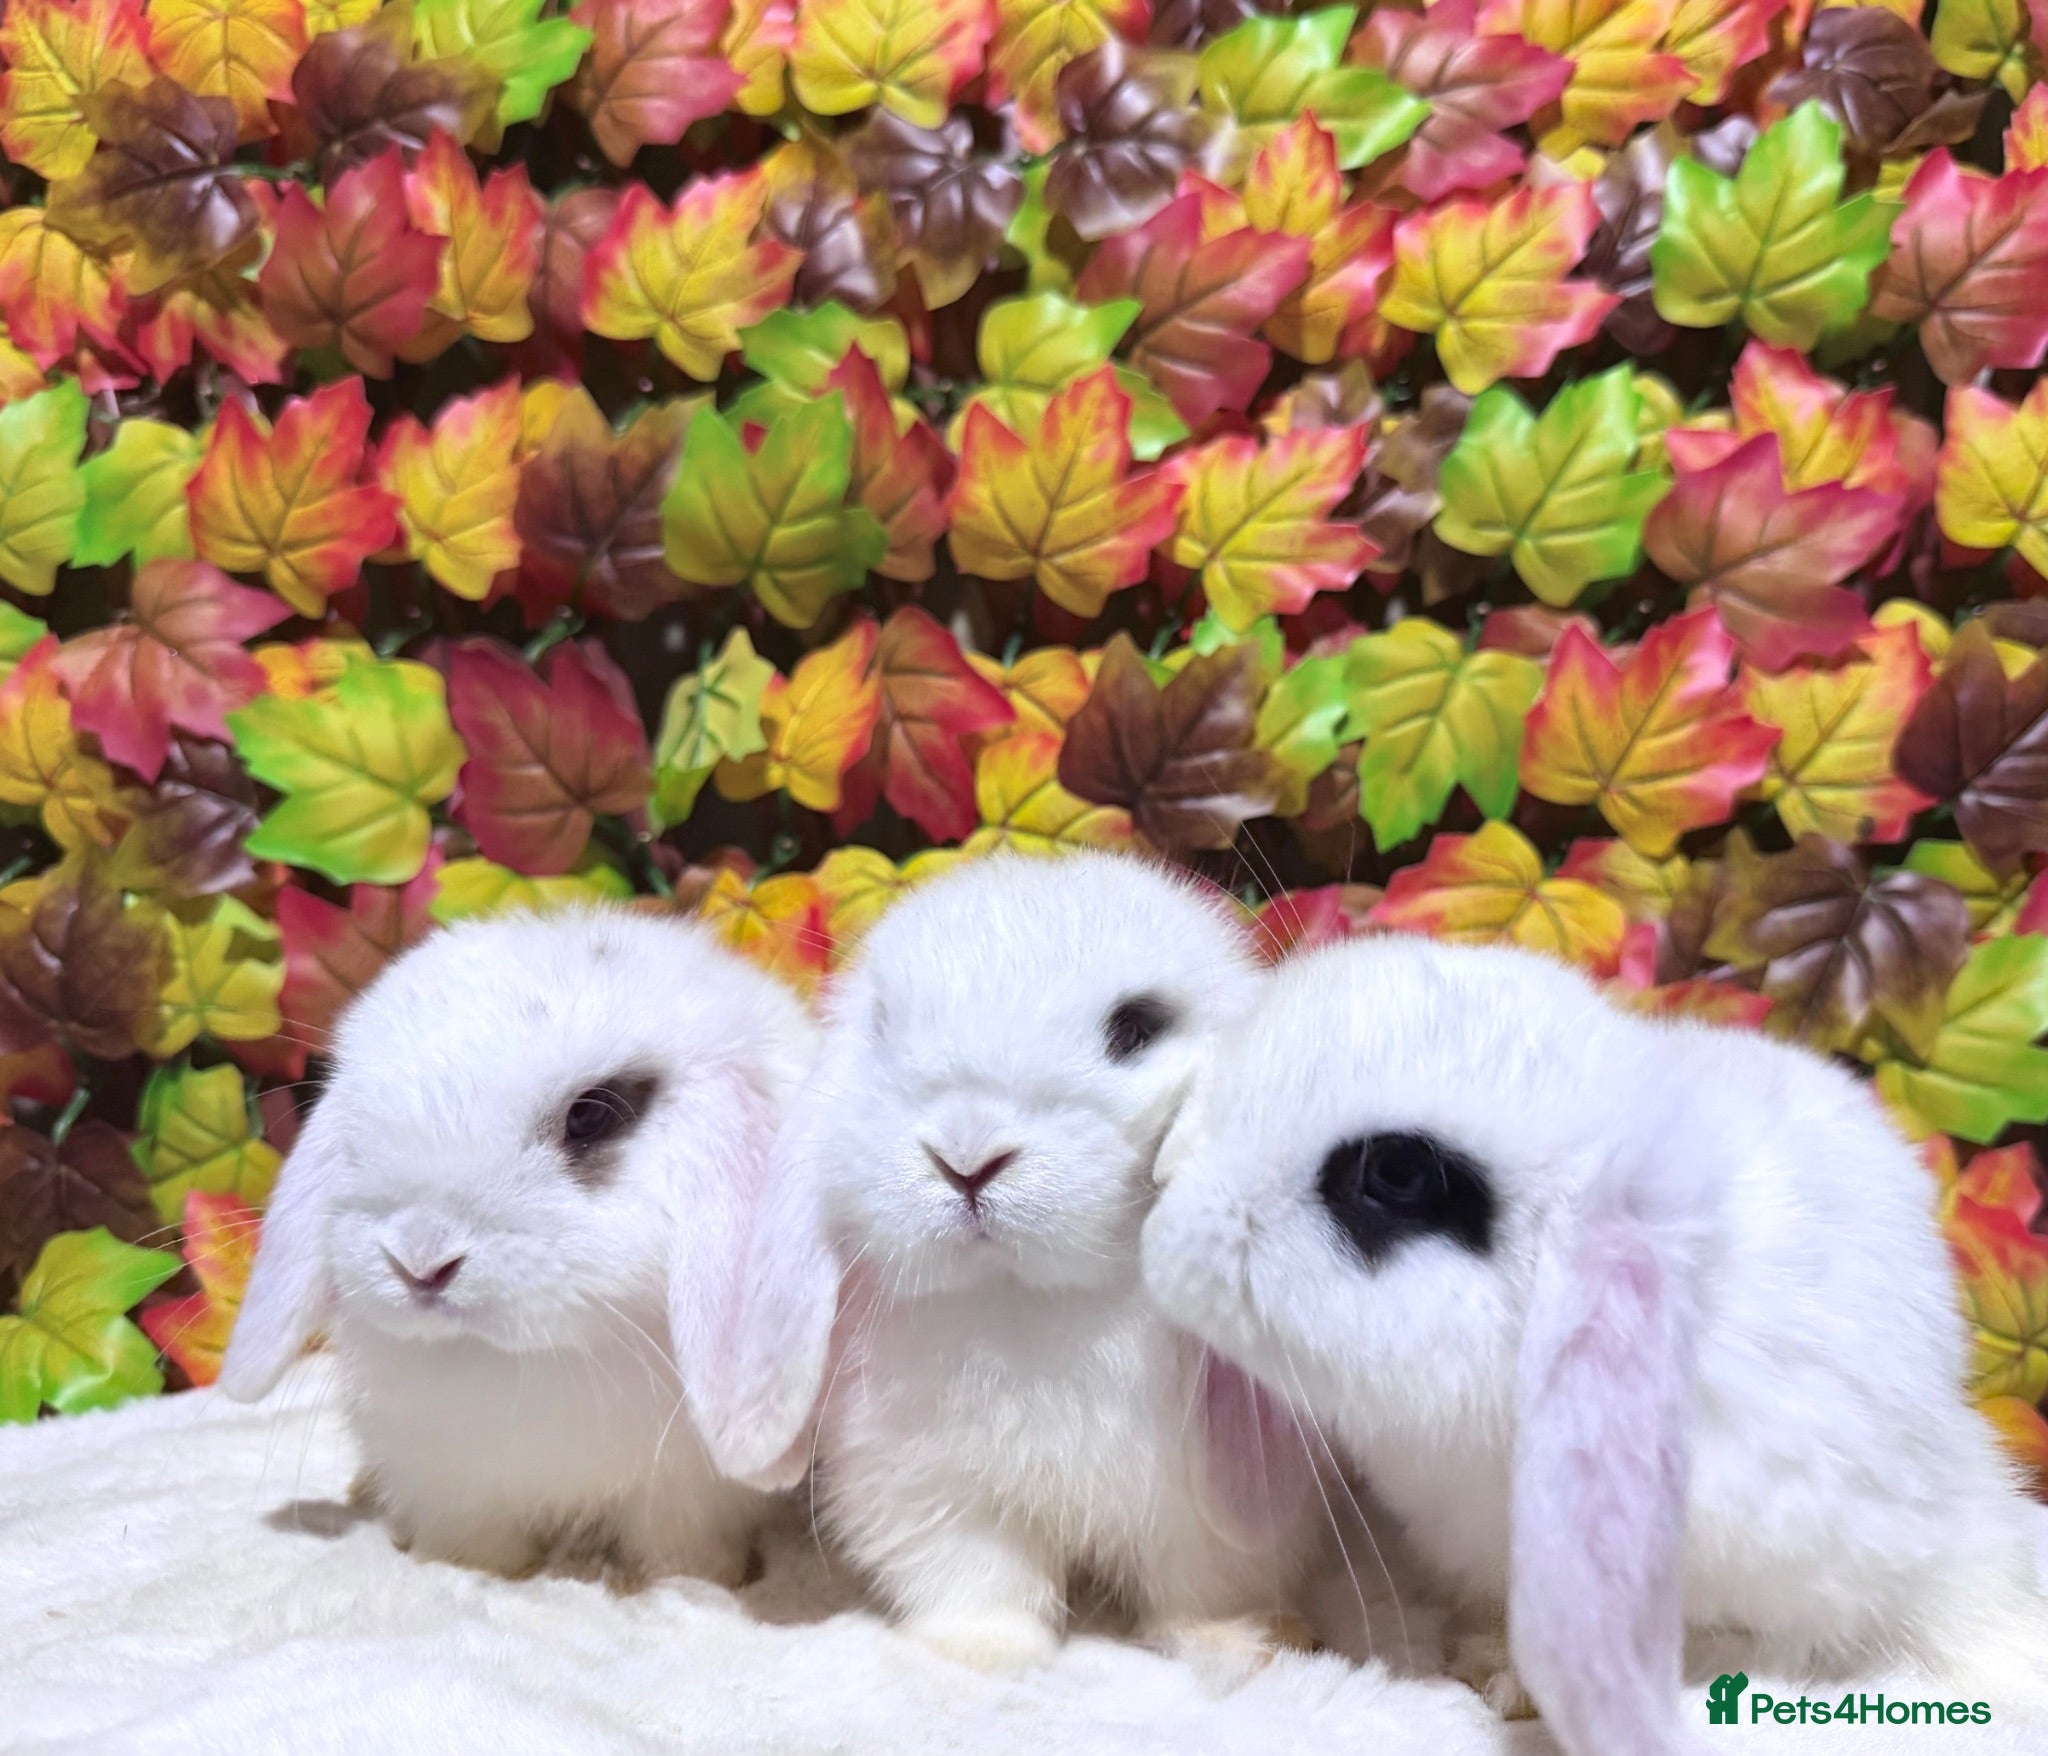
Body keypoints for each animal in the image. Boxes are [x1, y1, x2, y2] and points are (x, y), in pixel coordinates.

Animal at [219, 907, 820, 1590]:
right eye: (356, 1132)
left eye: (590, 1115)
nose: (420, 1259)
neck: (534, 1363)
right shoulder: (454, 1486)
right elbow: (477, 1547)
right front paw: (463, 1571)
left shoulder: (687, 1499)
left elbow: (678, 1554)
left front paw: (689, 1583)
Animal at [690, 850, 1323, 1675]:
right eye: (884, 1029)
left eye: (1136, 1027)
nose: (966, 1158)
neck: (1031, 1300)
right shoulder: (935, 1494)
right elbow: (978, 1577)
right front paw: (985, 1657)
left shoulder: (1198, 1518)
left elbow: (1204, 1583)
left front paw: (1237, 1646)